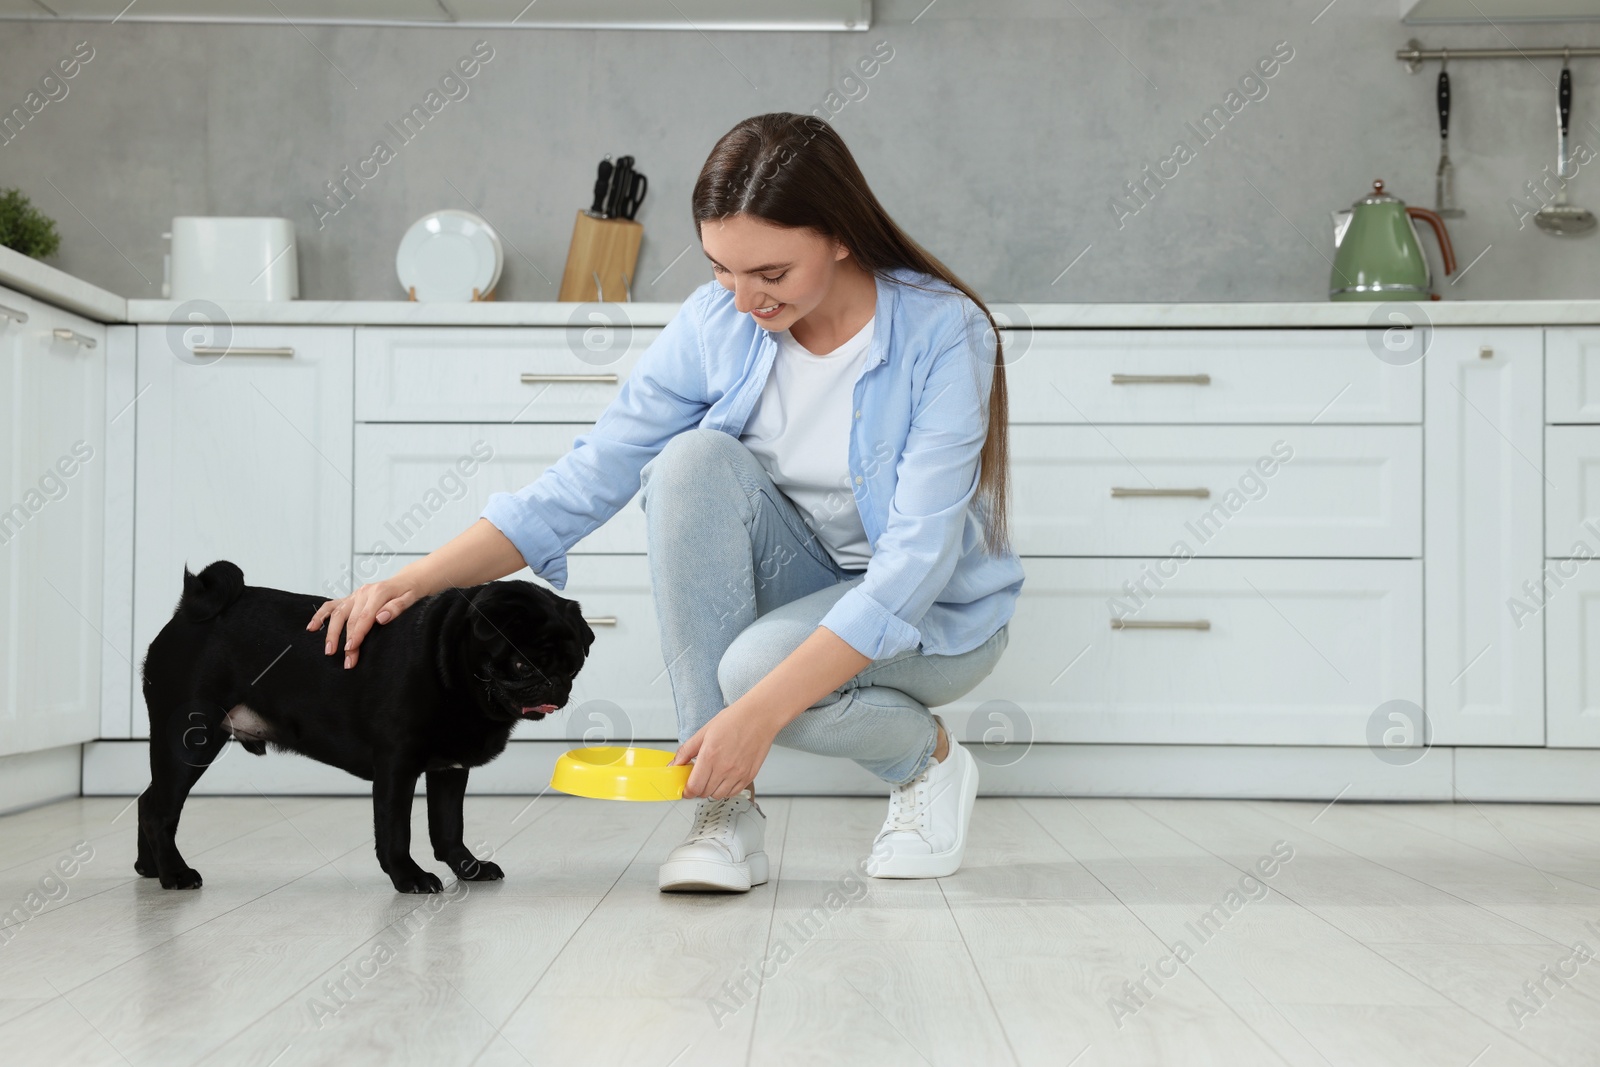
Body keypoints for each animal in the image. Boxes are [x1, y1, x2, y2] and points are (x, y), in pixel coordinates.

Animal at [137, 559, 598, 895]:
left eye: (574, 665)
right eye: (522, 664)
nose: (554, 684)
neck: (450, 665)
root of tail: (189, 610)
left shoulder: (448, 771)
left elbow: (448, 828)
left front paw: (468, 868)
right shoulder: (396, 765)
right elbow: (396, 830)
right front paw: (408, 877)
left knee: (147, 801)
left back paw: (149, 867)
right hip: (191, 739)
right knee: (161, 809)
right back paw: (175, 874)